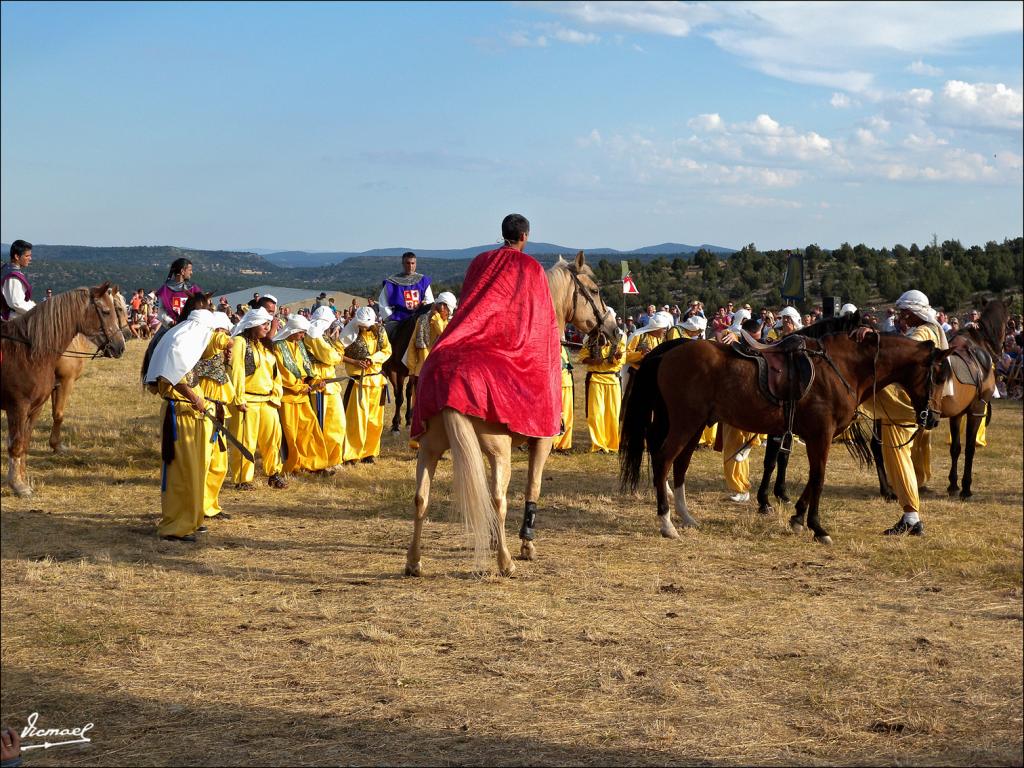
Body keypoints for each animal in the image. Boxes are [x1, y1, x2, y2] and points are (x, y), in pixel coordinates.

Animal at [48, 290, 131, 454]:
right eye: (117, 309)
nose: (126, 336)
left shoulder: (55, 385)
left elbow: (55, 413)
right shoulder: (65, 382)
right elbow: (59, 414)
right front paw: (57, 445)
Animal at [405, 252, 614, 577]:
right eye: (594, 290)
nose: (613, 330)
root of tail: (450, 382)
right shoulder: (541, 440)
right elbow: (533, 486)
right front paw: (527, 543)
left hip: (430, 448)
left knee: (421, 498)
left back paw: (414, 561)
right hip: (498, 450)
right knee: (497, 499)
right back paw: (506, 562)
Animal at [618, 313, 946, 548]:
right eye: (939, 375)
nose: (933, 418)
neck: (839, 367)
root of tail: (667, 352)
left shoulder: (809, 434)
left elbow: (804, 473)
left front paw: (797, 516)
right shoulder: (820, 434)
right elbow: (817, 476)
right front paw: (816, 526)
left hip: (694, 424)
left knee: (680, 464)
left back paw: (686, 516)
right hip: (685, 422)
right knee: (663, 459)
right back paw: (667, 523)